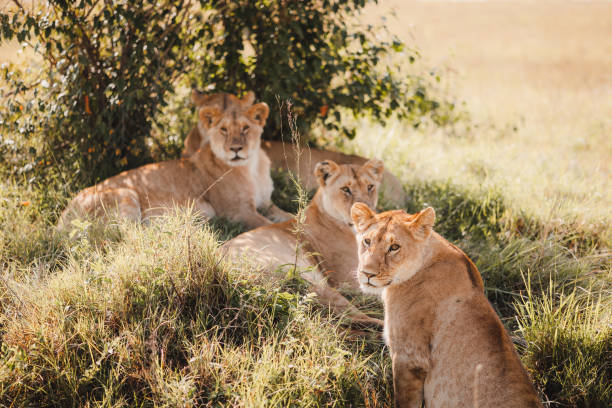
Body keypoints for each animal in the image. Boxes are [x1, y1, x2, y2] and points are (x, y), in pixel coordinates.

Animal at [59, 94, 292, 231]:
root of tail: (60, 220)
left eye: (245, 128)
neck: (252, 167)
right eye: (224, 129)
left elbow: (288, 214)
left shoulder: (266, 204)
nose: (236, 149)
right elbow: (270, 224)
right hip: (125, 194)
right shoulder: (237, 212)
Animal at [225, 158, 384, 326]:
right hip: (312, 281)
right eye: (345, 189)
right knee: (351, 316)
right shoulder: (350, 281)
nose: (368, 212)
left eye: (370, 187)